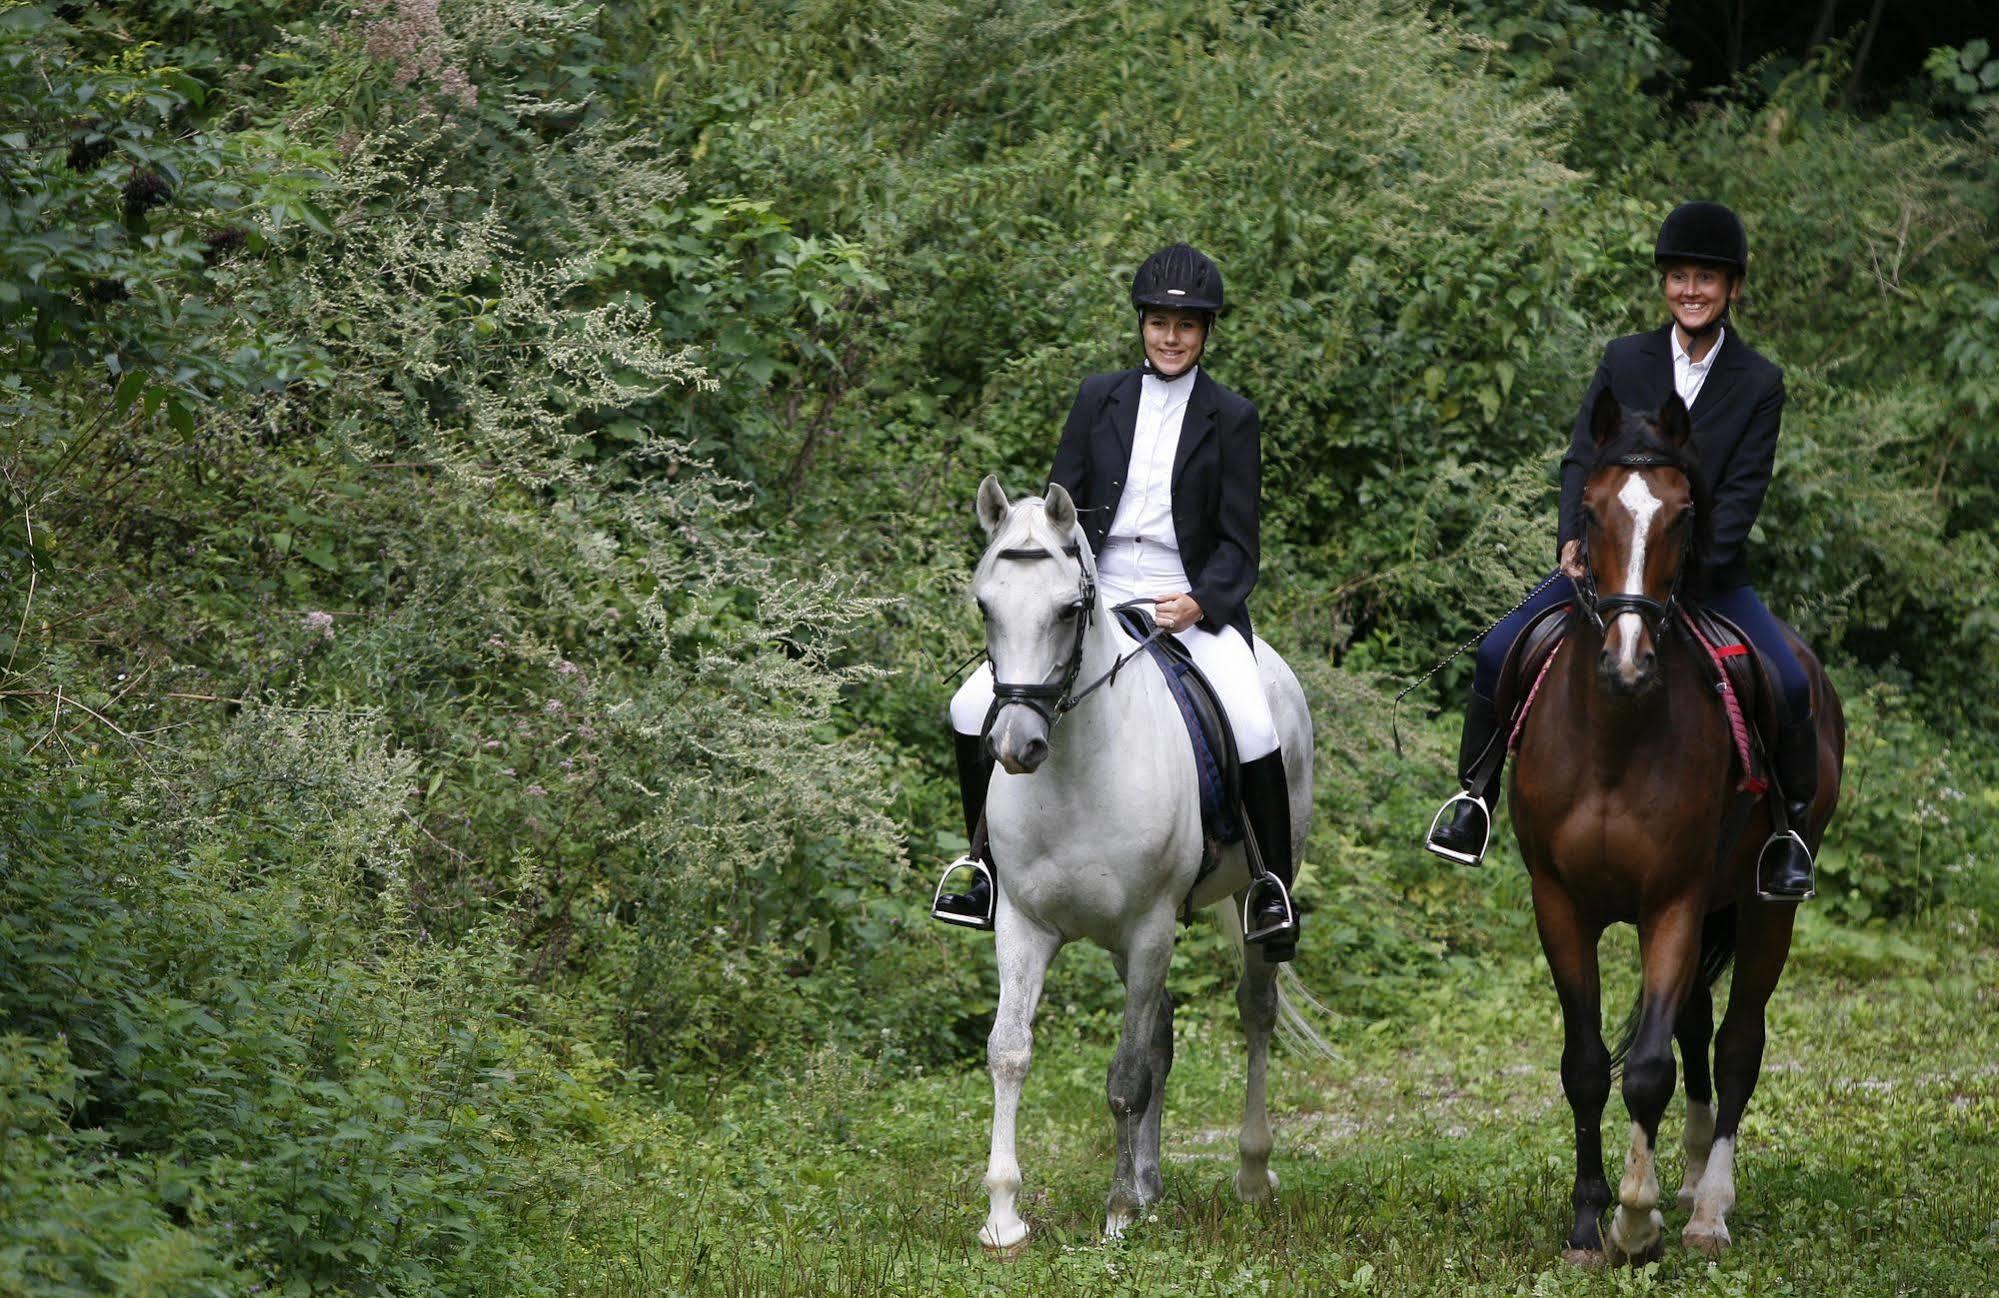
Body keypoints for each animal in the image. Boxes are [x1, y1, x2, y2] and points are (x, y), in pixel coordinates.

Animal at [959, 478, 1319, 1256]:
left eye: (1069, 610)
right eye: (984, 604)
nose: (1014, 746)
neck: (1073, 767)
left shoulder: (1151, 926)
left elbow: (1125, 1075)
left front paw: (1119, 1209)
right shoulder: (1023, 925)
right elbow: (1009, 1051)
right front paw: (1004, 1216)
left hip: (1242, 905)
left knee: (1255, 1012)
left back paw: (1249, 1175)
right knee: (1162, 1031)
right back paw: (1153, 1183)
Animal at [1511, 390, 1839, 1264]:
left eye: (1682, 514)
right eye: (1591, 510)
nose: (1626, 665)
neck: (1615, 736)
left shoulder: (1674, 902)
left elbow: (1648, 1068)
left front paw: (1635, 1219)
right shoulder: (1559, 902)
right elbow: (1587, 1066)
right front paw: (1587, 1223)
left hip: (1760, 907)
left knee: (1735, 1044)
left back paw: (1706, 1209)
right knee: (1695, 1027)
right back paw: (1687, 1177)